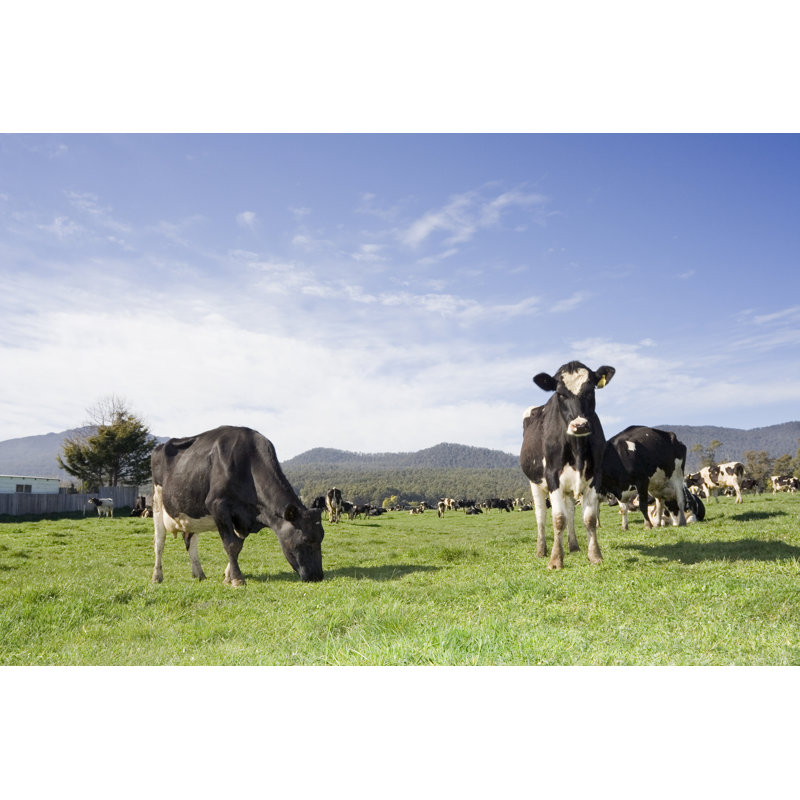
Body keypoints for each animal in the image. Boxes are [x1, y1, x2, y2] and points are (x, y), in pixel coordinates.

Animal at [151, 426, 324, 585]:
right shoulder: (218, 505)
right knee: (159, 542)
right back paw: (157, 576)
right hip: (157, 500)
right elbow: (231, 544)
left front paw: (228, 576)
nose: (317, 576)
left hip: (190, 512)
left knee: (190, 541)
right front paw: (237, 579)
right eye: (306, 540)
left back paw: (199, 574)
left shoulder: (243, 519)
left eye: (321, 537)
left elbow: (239, 545)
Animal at [519, 361, 615, 569]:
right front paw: (555, 559)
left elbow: (589, 518)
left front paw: (595, 555)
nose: (579, 425)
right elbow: (558, 519)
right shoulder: (552, 476)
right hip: (534, 482)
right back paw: (541, 550)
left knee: (570, 511)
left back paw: (574, 546)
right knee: (541, 515)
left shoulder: (595, 476)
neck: (577, 448)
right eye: (560, 394)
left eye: (591, 390)